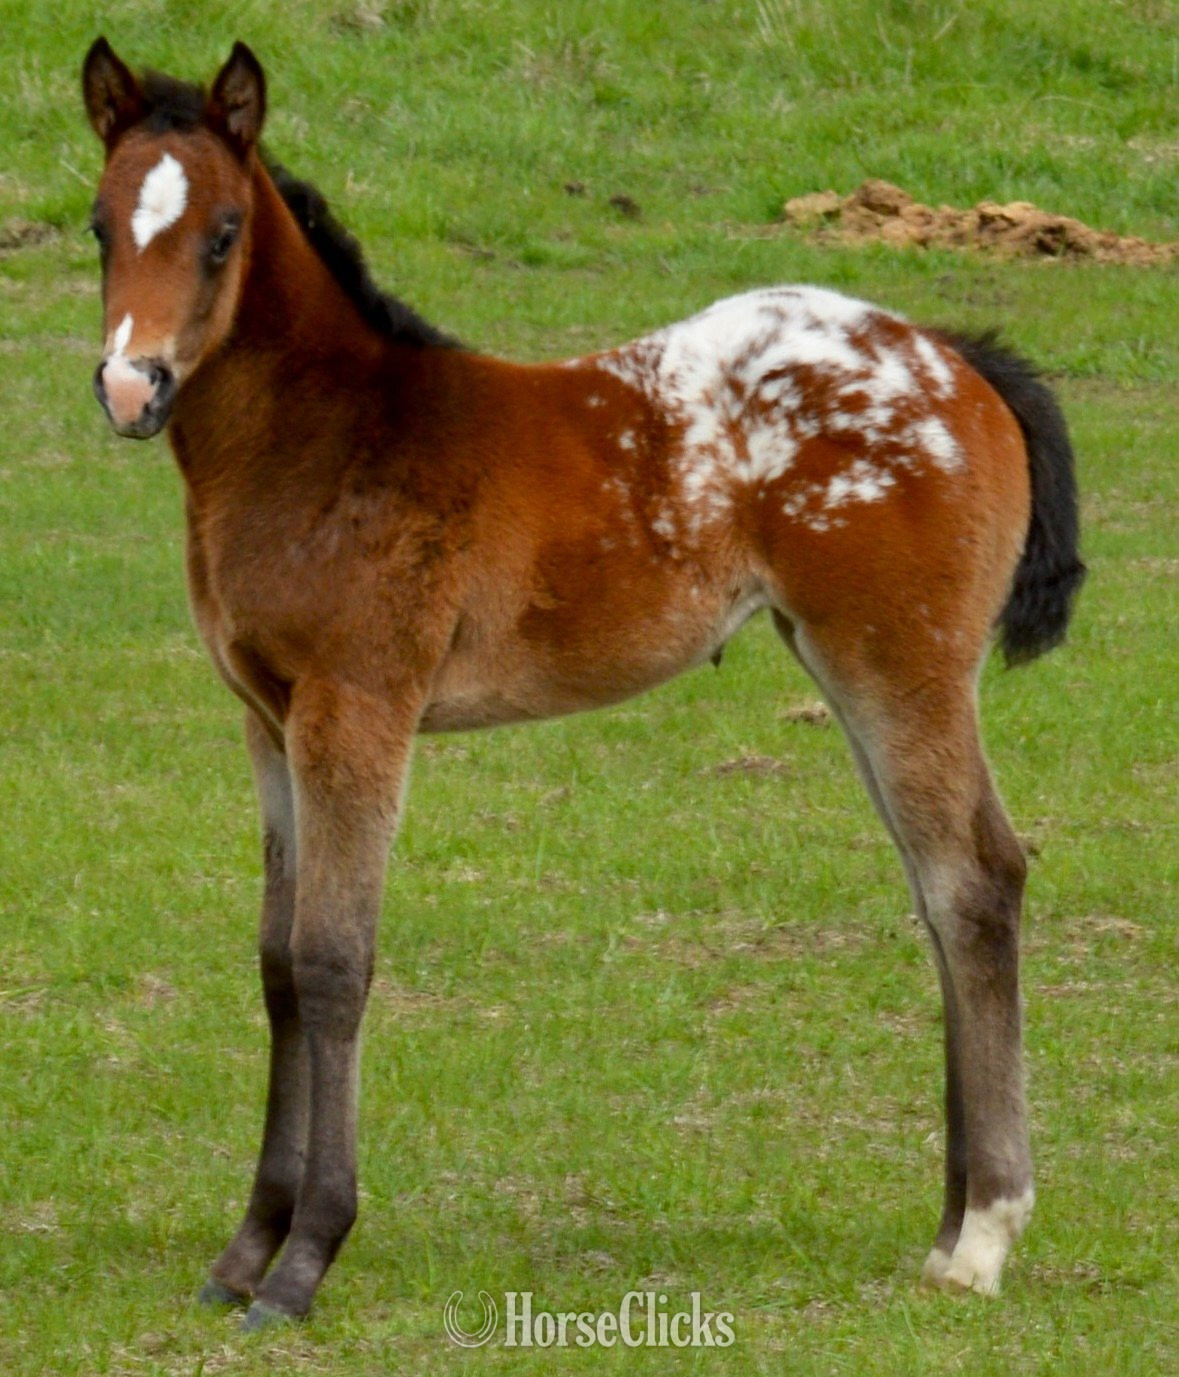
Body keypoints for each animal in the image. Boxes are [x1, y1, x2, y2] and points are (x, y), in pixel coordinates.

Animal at [81, 38, 1084, 1329]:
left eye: (220, 233)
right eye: (100, 225)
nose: (130, 386)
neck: (329, 439)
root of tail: (958, 357)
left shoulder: (360, 710)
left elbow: (335, 960)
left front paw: (304, 1263)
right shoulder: (269, 721)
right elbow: (276, 965)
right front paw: (244, 1252)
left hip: (900, 664)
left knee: (975, 882)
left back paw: (984, 1237)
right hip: (852, 665)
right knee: (940, 888)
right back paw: (952, 1220)